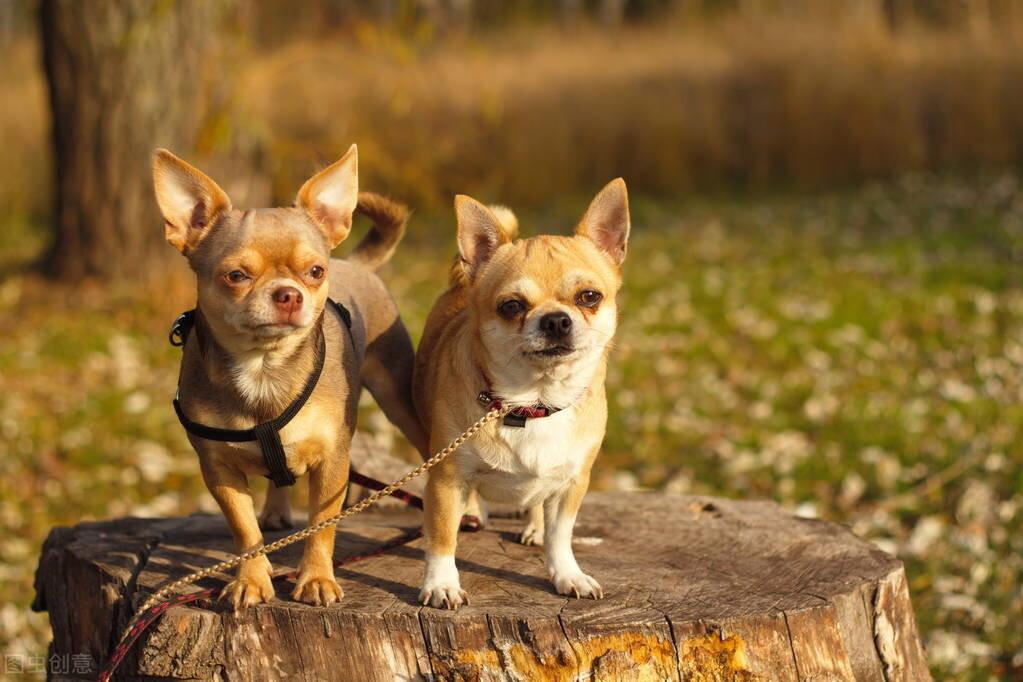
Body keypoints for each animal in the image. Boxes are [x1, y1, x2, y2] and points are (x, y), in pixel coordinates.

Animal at [151, 145, 427, 609]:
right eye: (236, 276)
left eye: (315, 272)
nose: (289, 294)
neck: (264, 369)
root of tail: (356, 263)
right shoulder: (218, 468)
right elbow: (244, 531)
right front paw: (251, 579)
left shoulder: (333, 461)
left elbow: (321, 525)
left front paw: (316, 579)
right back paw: (276, 511)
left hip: (398, 397)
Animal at [415, 178, 630, 605]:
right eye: (511, 306)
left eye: (589, 297)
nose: (556, 320)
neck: (534, 402)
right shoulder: (446, 478)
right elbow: (442, 538)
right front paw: (441, 583)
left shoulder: (571, 485)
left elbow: (561, 536)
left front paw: (567, 574)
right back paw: (473, 514)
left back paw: (533, 527)